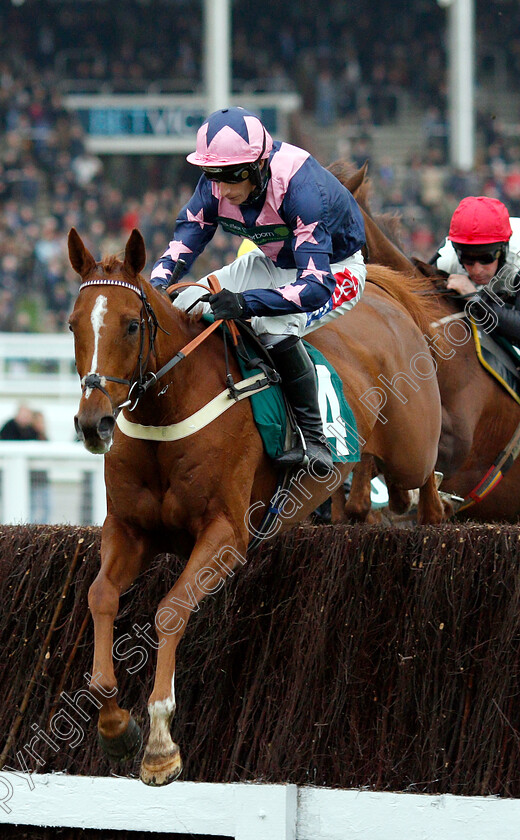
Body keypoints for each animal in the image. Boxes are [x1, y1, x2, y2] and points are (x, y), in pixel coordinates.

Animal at [67, 226, 444, 784]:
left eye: (132, 325)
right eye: (73, 325)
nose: (94, 423)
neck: (168, 410)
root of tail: (380, 294)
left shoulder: (226, 534)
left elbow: (170, 610)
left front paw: (160, 744)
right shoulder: (129, 529)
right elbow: (101, 597)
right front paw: (115, 726)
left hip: (411, 444)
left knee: (429, 478)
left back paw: (431, 522)